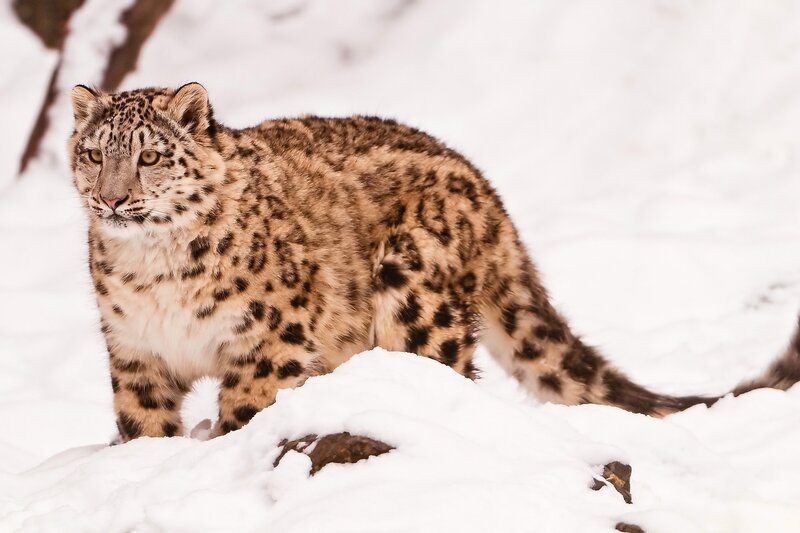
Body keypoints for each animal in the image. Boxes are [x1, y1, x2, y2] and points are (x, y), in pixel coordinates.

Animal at [67, 83, 800, 442]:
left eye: (150, 155)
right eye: (93, 152)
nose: (113, 197)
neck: (154, 274)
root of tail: (485, 188)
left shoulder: (268, 339)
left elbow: (247, 408)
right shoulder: (134, 352)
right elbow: (142, 424)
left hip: (415, 296)